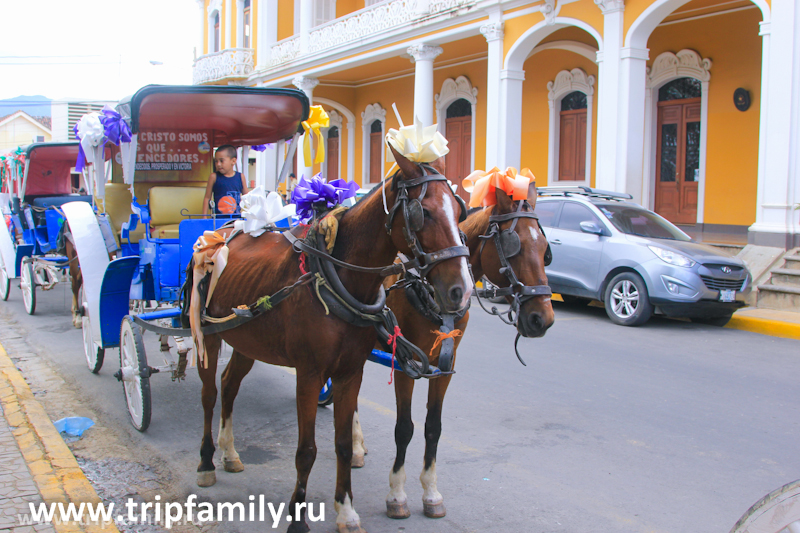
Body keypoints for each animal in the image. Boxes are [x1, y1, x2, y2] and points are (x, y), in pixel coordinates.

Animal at [191, 147, 472, 532]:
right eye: (423, 212)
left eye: (460, 212)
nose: (462, 291)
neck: (339, 279)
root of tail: (221, 232)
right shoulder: (309, 375)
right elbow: (307, 449)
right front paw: (298, 516)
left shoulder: (349, 373)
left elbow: (341, 443)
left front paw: (346, 510)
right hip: (208, 335)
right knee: (209, 394)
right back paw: (206, 461)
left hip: (247, 339)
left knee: (229, 384)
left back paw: (230, 452)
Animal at [354, 183, 552, 520]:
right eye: (515, 246)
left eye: (544, 250)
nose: (543, 318)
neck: (430, 290)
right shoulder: (408, 364)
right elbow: (404, 428)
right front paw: (397, 493)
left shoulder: (445, 366)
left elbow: (433, 427)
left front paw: (431, 492)